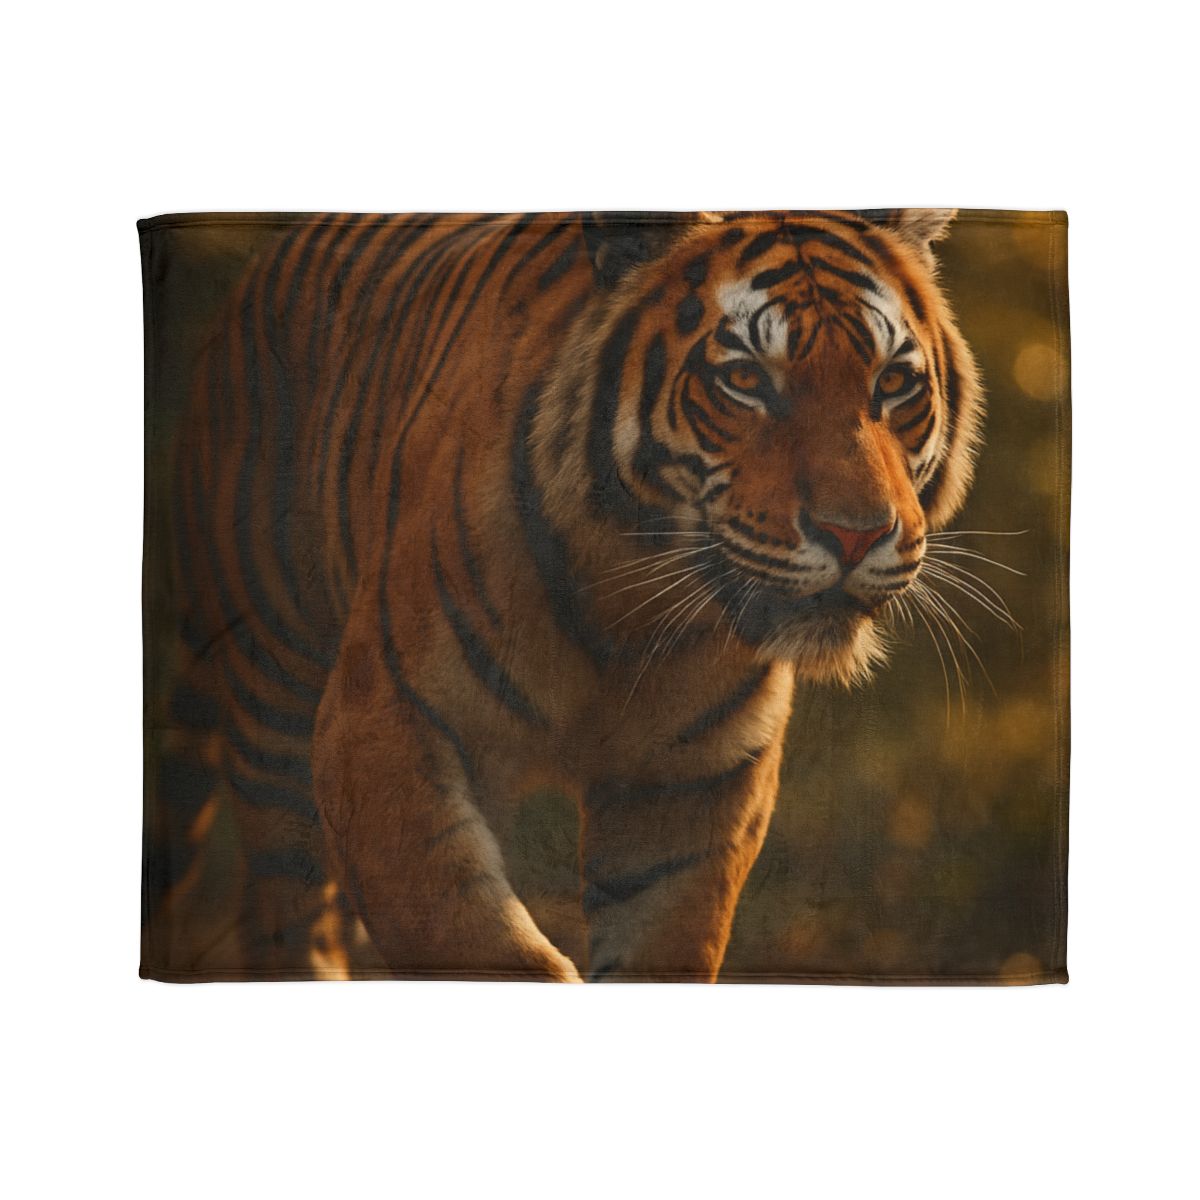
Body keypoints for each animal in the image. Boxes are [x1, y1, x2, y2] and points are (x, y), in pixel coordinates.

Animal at [145, 209, 983, 982]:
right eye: (745, 380)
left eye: (893, 383)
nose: (855, 535)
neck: (629, 612)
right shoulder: (380, 725)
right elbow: (472, 940)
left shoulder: (695, 786)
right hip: (274, 706)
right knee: (289, 911)